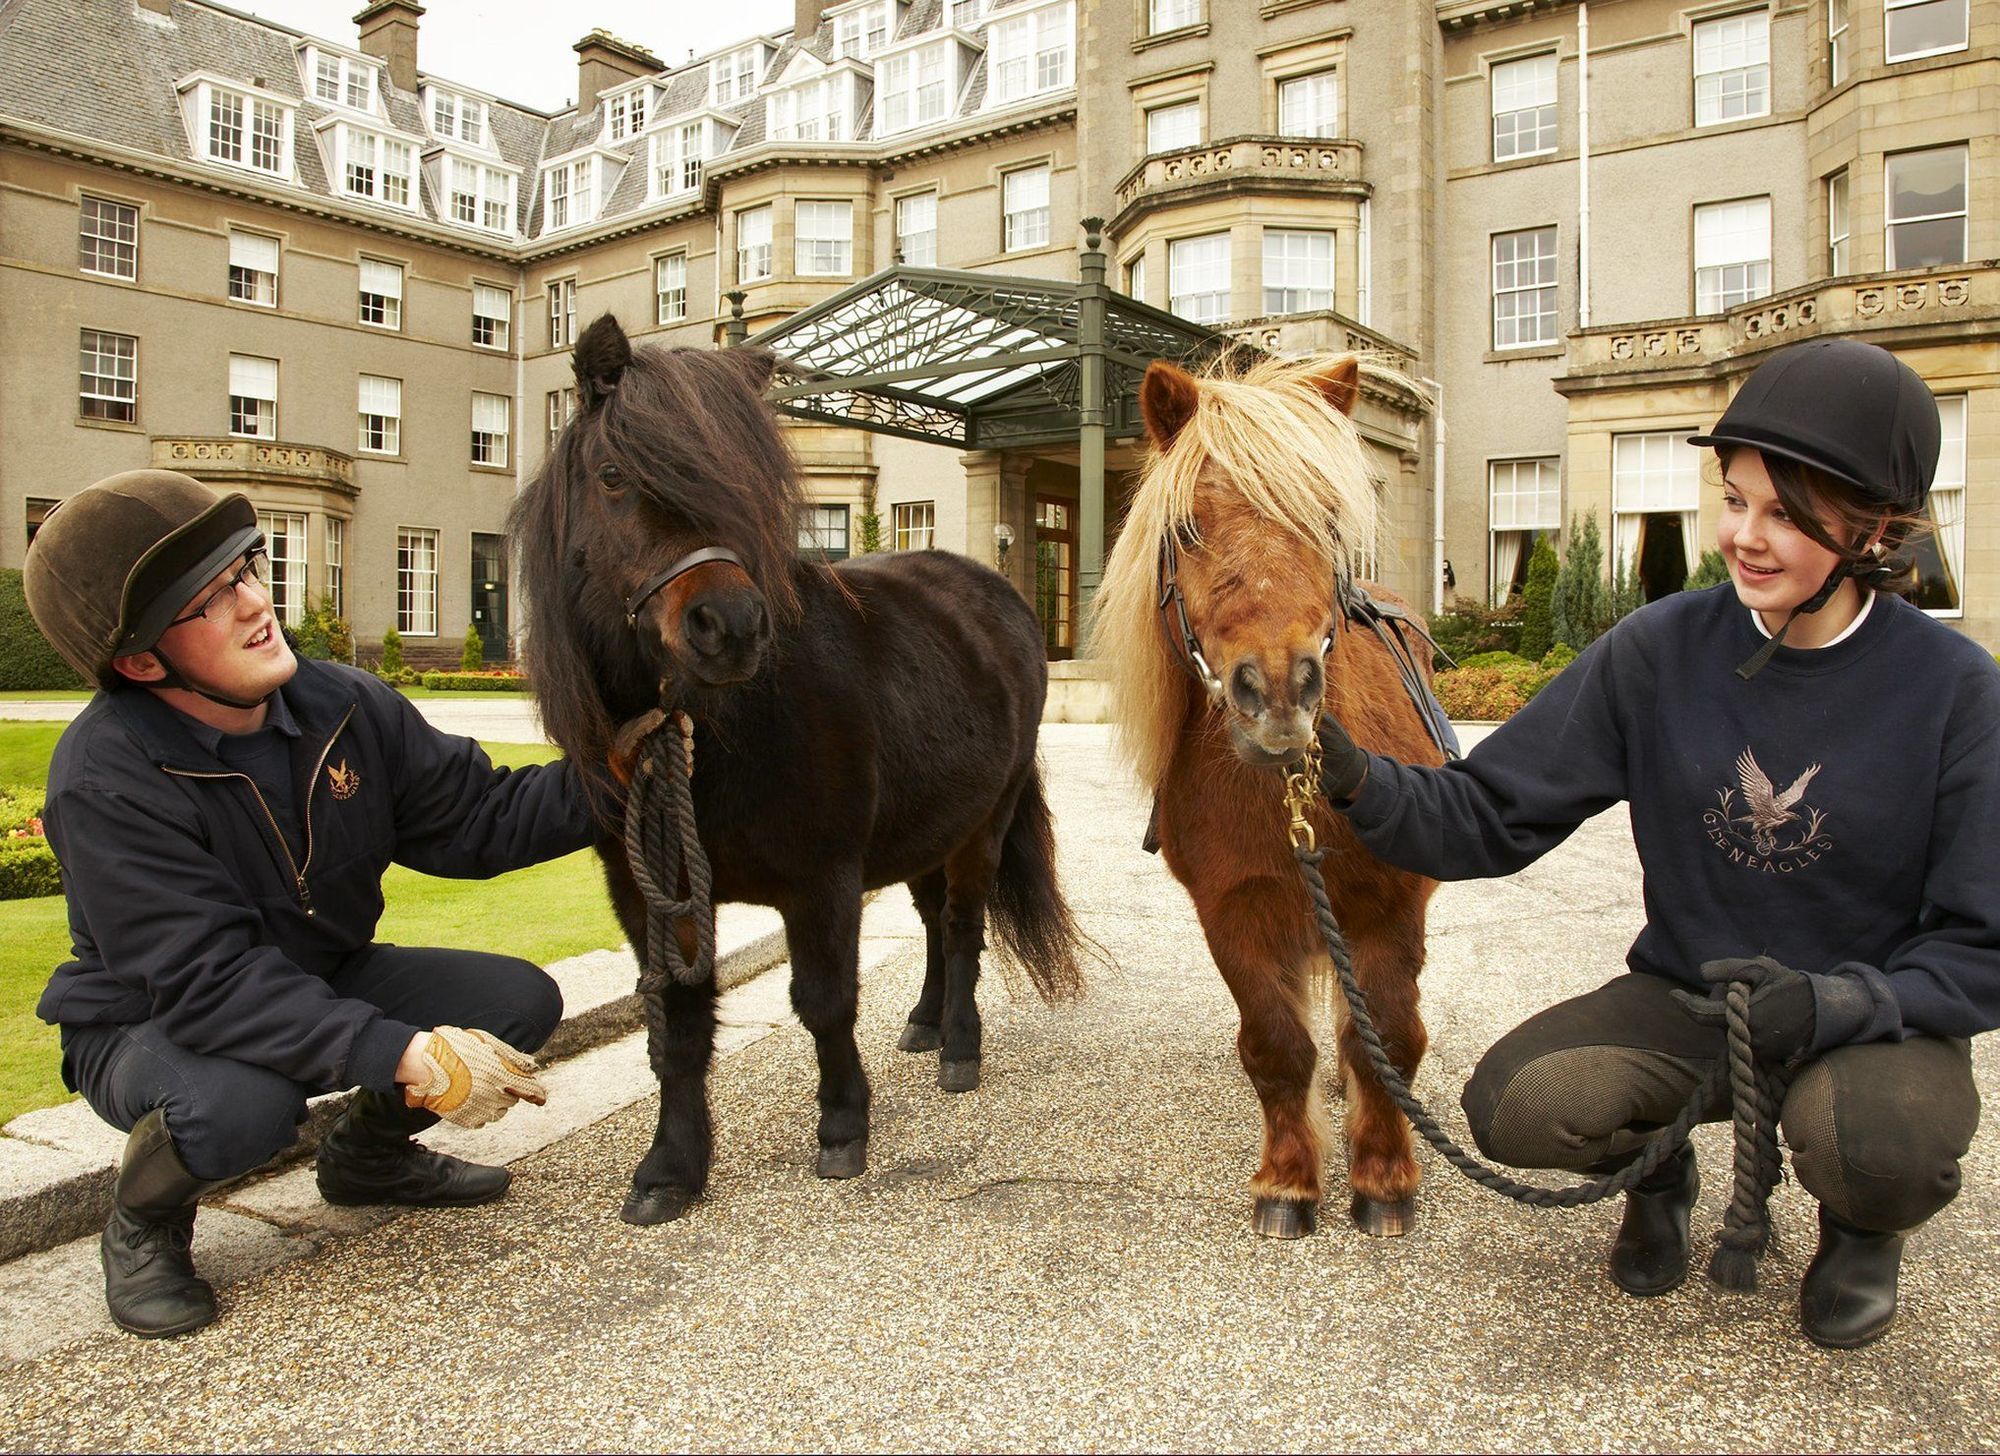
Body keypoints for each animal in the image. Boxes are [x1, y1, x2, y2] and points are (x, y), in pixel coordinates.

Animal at [508, 318, 1088, 1232]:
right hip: (924, 827)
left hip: (982, 824)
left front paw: (844, 1126)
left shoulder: (822, 878)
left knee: (963, 926)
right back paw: (924, 1024)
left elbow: (824, 1001)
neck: (720, 734)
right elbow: (678, 1024)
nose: (731, 625)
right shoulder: (649, 891)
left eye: (745, 481)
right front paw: (670, 1169)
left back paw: (959, 1048)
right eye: (612, 476)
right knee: (932, 922)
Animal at [1096, 352, 1440, 1240]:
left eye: (1326, 522)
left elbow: (1391, 1033)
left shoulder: (1392, 905)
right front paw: (1288, 1182)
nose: (1280, 692)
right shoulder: (1232, 910)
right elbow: (1276, 1046)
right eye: (1186, 530)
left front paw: (1384, 1176)